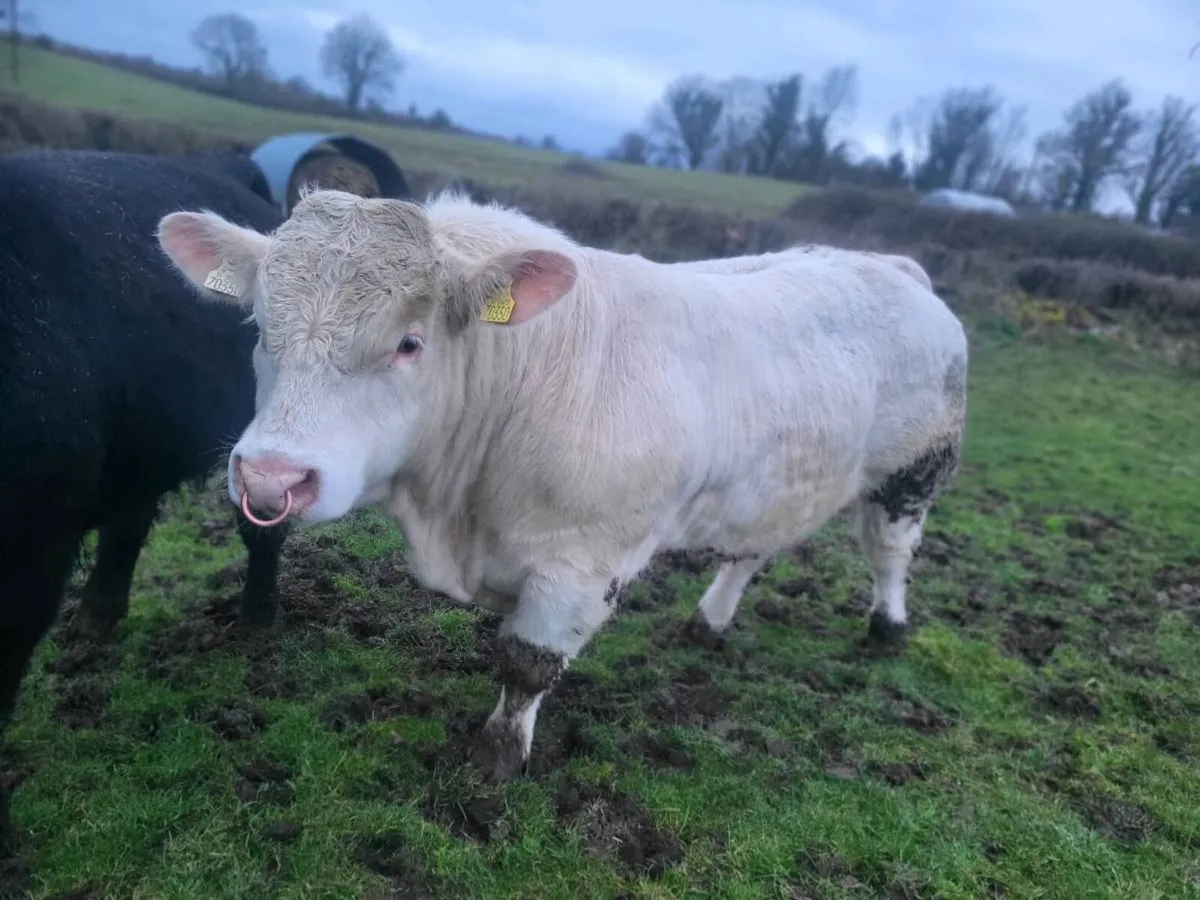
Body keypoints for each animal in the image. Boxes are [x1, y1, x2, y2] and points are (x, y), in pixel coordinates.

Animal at [155, 188, 969, 782]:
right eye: (260, 328)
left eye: (409, 343)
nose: (272, 475)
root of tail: (894, 266)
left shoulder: (583, 563)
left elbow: (526, 663)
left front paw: (495, 762)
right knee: (754, 549)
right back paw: (710, 620)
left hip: (914, 469)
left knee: (890, 552)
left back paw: (887, 628)